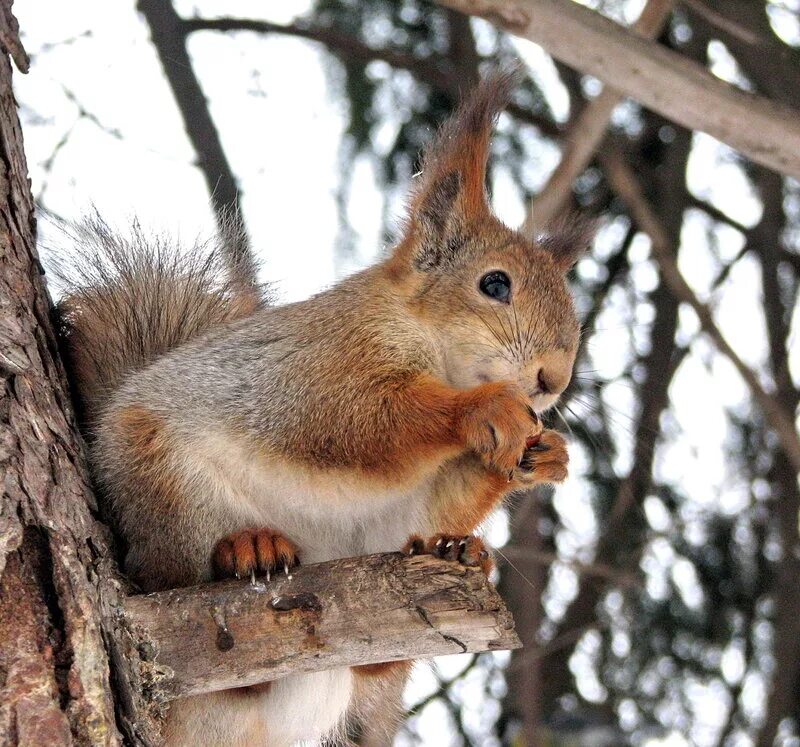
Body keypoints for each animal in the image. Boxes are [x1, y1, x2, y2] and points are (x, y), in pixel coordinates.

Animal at [56, 70, 592, 747]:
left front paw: (544, 457)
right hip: (162, 486)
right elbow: (359, 422)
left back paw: (451, 554)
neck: (433, 348)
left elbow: (435, 500)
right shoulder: (318, 369)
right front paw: (485, 407)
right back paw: (246, 551)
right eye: (494, 284)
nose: (553, 379)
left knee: (371, 662)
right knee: (179, 593)